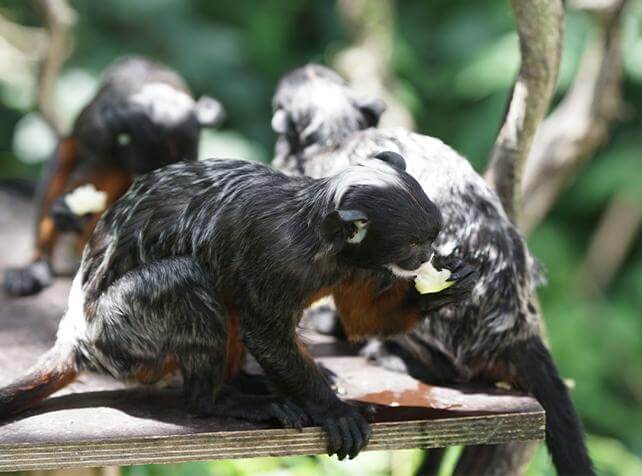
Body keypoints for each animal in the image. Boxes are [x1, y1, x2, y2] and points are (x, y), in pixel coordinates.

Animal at [0, 153, 478, 460]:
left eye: (433, 238)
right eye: (415, 243)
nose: (426, 255)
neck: (323, 244)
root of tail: (77, 336)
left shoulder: (360, 265)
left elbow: (363, 320)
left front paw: (436, 291)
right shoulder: (276, 252)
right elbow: (266, 335)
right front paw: (333, 410)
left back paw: (245, 382)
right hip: (120, 335)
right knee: (187, 279)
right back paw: (216, 400)